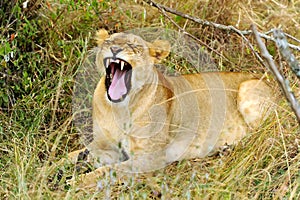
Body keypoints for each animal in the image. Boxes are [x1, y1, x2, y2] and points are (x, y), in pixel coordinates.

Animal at [67, 28, 276, 188]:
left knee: (263, 137)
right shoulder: (106, 146)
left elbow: (108, 171)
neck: (119, 109)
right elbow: (71, 156)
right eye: (109, 41)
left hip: (247, 89)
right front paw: (61, 169)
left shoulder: (150, 158)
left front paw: (75, 182)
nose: (115, 48)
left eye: (135, 47)